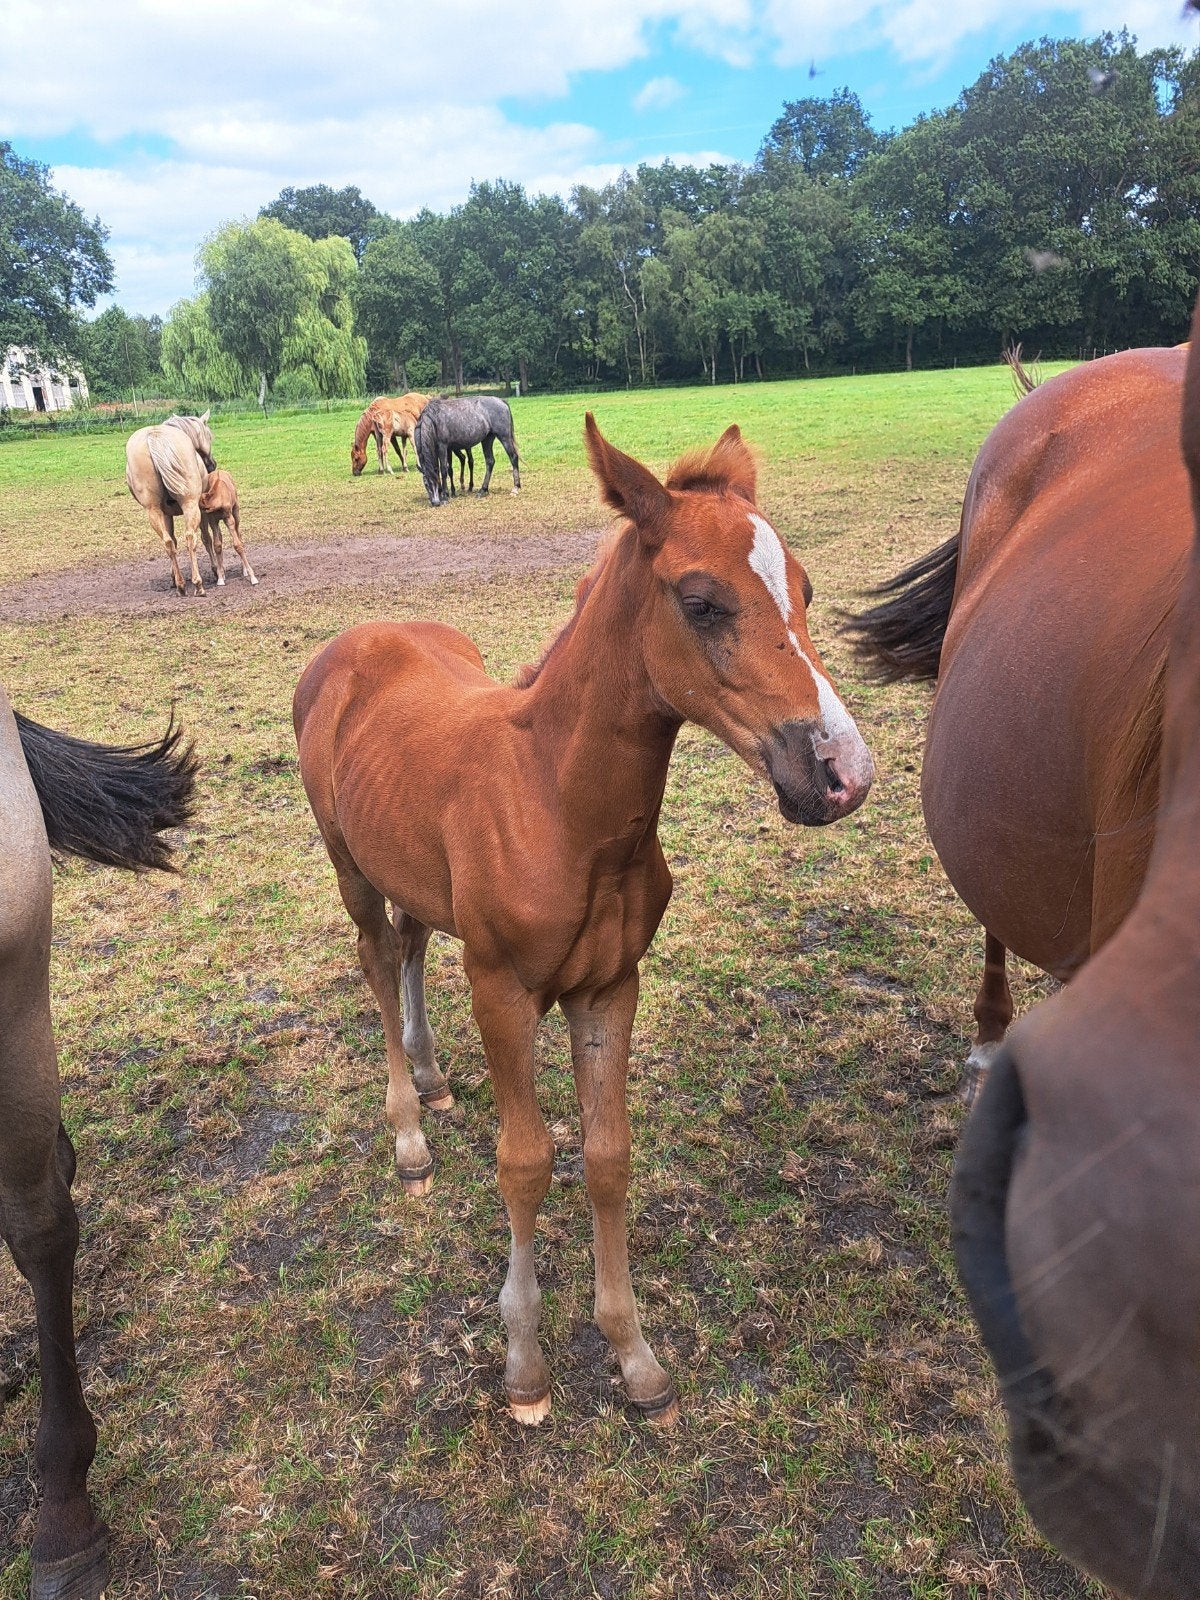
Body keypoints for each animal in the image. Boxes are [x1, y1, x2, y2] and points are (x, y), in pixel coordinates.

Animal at [125, 412, 217, 596]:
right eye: (209, 436)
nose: (212, 465)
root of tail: (154, 436)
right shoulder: (200, 507)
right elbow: (206, 538)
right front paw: (216, 570)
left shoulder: (166, 513)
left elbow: (173, 540)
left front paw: (174, 577)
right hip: (190, 504)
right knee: (190, 538)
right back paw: (198, 585)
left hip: (153, 510)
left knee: (168, 542)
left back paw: (180, 585)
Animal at [294, 416, 874, 1426]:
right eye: (701, 601)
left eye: (804, 589)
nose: (844, 771)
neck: (561, 808)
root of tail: (355, 640)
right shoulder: (502, 992)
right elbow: (526, 1163)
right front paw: (525, 1365)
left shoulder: (610, 988)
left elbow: (607, 1156)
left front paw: (634, 1355)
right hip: (350, 866)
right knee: (375, 960)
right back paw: (409, 1133)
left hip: (411, 869)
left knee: (410, 945)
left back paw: (436, 1081)